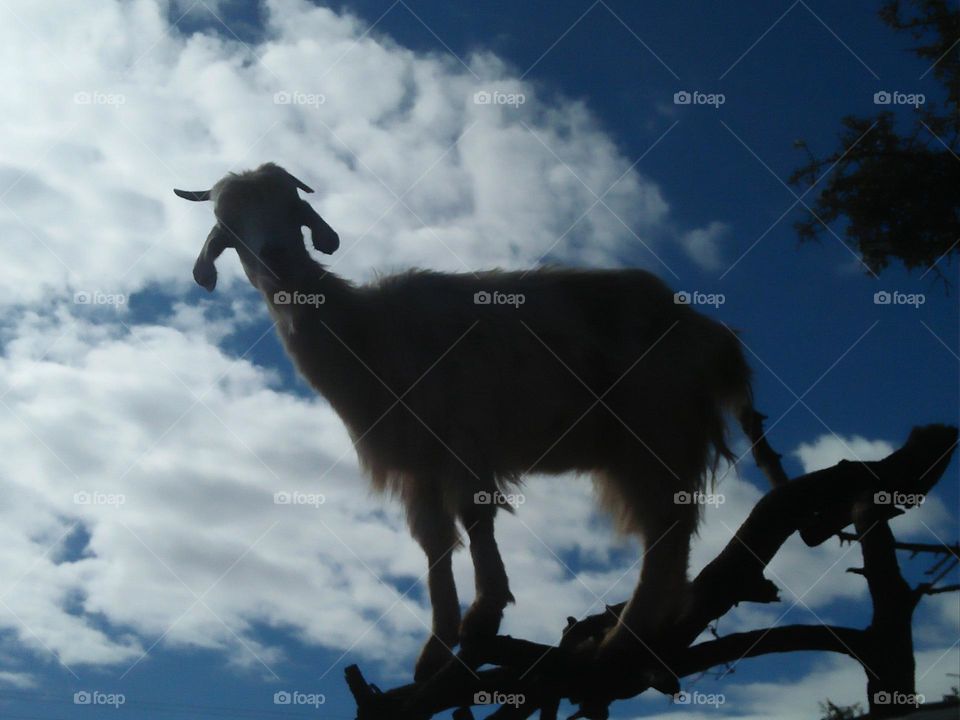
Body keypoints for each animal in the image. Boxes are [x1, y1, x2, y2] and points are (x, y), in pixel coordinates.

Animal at [176, 163, 752, 680]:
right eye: (228, 227)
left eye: (293, 209)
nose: (274, 256)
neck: (367, 330)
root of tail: (706, 330)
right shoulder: (418, 466)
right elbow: (434, 542)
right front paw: (437, 644)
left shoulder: (461, 439)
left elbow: (475, 521)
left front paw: (484, 615)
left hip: (656, 428)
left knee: (665, 529)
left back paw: (623, 638)